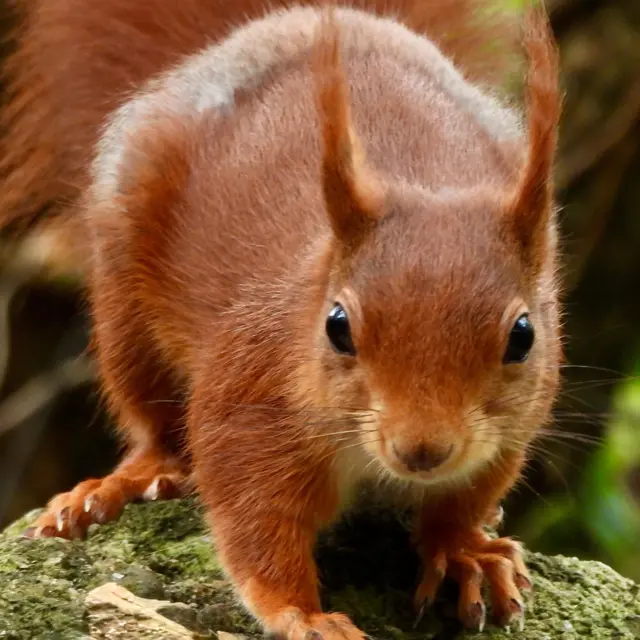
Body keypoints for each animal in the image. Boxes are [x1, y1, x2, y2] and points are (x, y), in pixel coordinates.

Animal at [0, 0, 562, 636]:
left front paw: (465, 548)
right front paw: (305, 614)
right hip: (125, 300)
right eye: (337, 326)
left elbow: (465, 496)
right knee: (154, 421)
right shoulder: (250, 394)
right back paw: (120, 484)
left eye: (523, 336)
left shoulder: (512, 427)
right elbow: (257, 522)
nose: (422, 451)